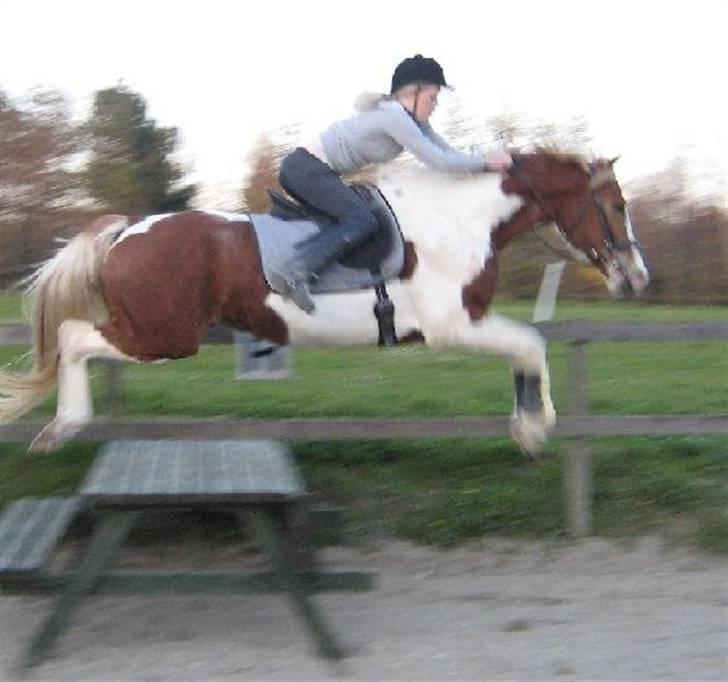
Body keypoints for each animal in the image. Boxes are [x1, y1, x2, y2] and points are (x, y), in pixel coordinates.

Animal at [0, 151, 648, 454]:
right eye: (616, 206)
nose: (638, 277)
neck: (461, 220)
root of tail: (125, 232)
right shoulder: (452, 326)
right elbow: (531, 344)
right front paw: (535, 427)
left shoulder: (467, 324)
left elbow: (527, 351)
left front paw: (529, 422)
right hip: (165, 335)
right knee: (73, 338)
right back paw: (63, 426)